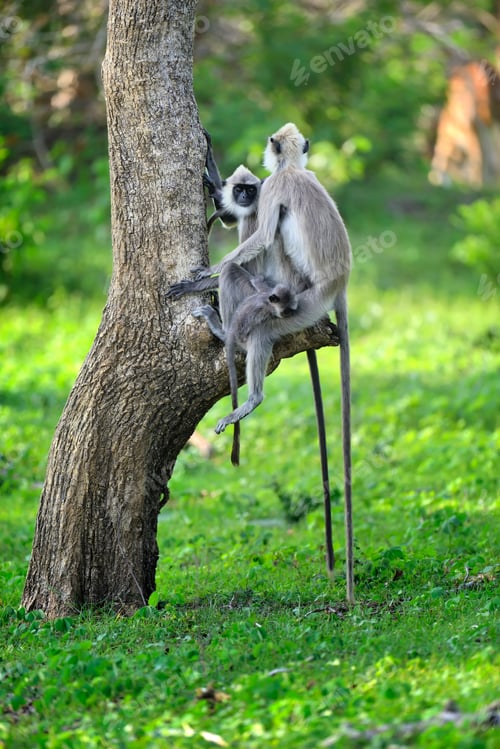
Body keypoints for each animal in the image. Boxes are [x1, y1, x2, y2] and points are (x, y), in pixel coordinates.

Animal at [166, 131, 339, 584]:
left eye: (250, 188)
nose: (244, 195)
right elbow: (231, 219)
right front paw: (212, 178)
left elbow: (251, 239)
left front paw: (197, 282)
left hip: (263, 290)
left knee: (242, 268)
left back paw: (224, 326)